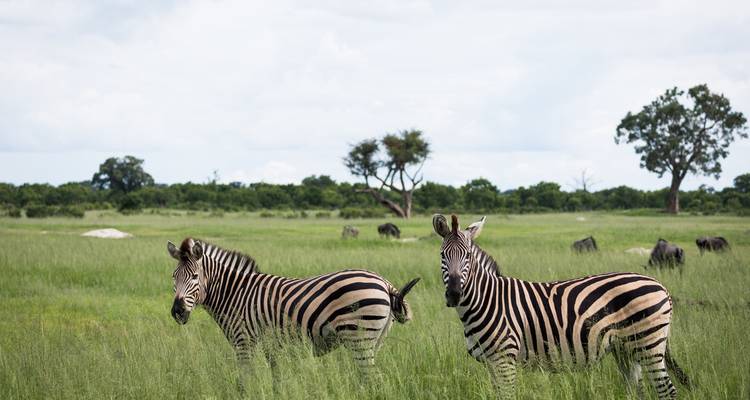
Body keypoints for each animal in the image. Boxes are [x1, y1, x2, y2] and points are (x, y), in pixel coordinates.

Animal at [167, 237, 419, 381]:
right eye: (173, 277)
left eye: (195, 277)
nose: (177, 311)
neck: (235, 293)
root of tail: (384, 281)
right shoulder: (270, 344)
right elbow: (277, 378)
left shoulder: (243, 341)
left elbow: (245, 381)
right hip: (375, 339)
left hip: (360, 337)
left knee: (372, 378)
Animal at [432, 214, 690, 399]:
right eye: (442, 255)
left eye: (467, 256)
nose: (454, 294)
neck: (487, 301)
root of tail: (660, 285)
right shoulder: (491, 363)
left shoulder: (505, 359)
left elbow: (508, 395)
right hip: (626, 348)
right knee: (637, 389)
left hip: (649, 343)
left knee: (667, 390)